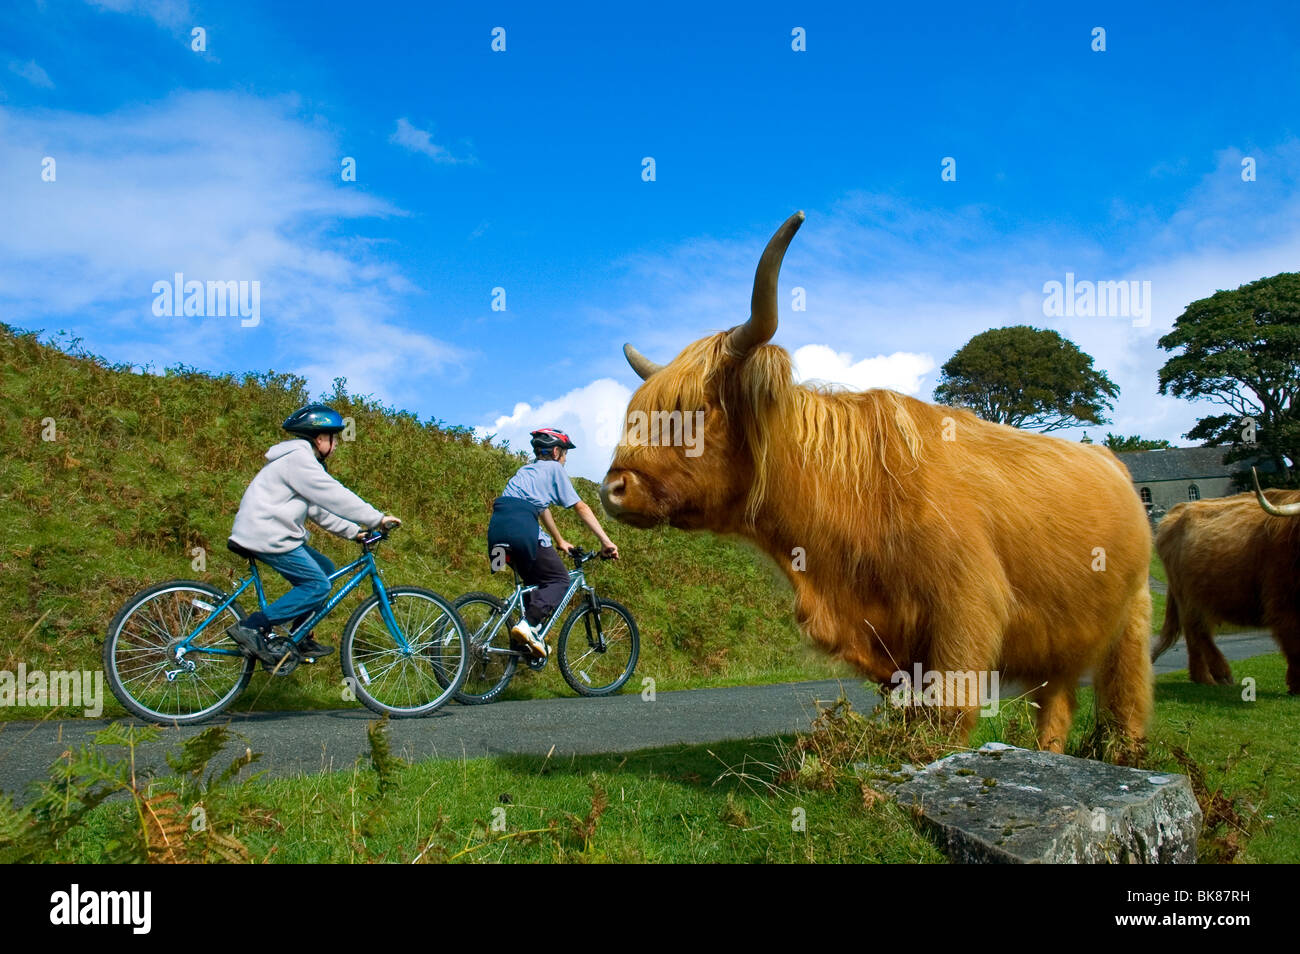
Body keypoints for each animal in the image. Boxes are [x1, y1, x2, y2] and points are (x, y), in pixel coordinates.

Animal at [595, 213, 1149, 759]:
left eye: (696, 410)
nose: (613, 489)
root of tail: (1110, 459)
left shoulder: (966, 611)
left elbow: (946, 715)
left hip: (1133, 614)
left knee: (1126, 695)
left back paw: (1124, 754)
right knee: (1056, 701)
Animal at [1154, 470, 1294, 696]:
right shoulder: (1282, 601)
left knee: (1195, 632)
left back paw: (1204, 677)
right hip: (1189, 597)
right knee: (1196, 629)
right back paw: (1217, 675)